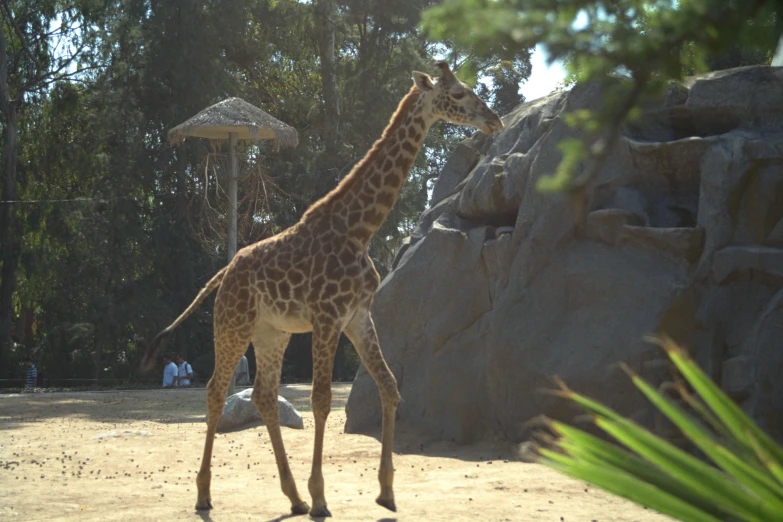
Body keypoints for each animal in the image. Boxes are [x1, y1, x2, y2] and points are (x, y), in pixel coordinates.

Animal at [142, 62, 506, 516]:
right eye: (457, 94)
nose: (494, 120)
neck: (360, 230)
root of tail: (224, 272)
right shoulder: (328, 317)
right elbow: (320, 399)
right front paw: (320, 497)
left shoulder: (358, 317)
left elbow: (389, 387)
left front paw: (386, 491)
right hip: (231, 325)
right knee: (215, 392)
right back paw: (206, 494)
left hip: (272, 333)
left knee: (263, 396)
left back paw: (292, 497)